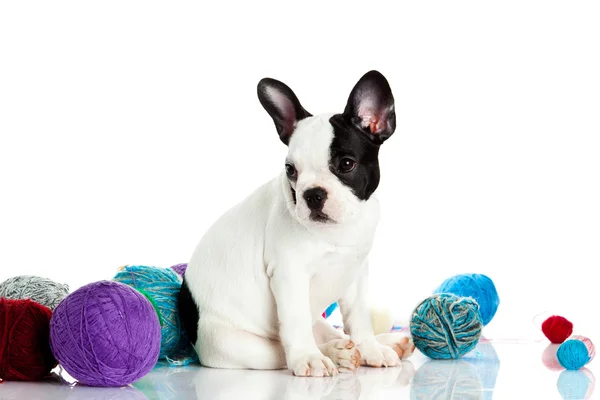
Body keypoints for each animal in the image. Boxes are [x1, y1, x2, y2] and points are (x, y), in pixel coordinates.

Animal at [178, 70, 412, 376]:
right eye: (291, 171)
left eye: (346, 164)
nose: (312, 194)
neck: (338, 230)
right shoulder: (290, 274)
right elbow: (296, 320)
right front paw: (309, 358)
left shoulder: (356, 273)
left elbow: (358, 317)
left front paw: (371, 348)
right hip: (235, 345)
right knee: (282, 349)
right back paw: (333, 354)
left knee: (330, 332)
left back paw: (385, 343)